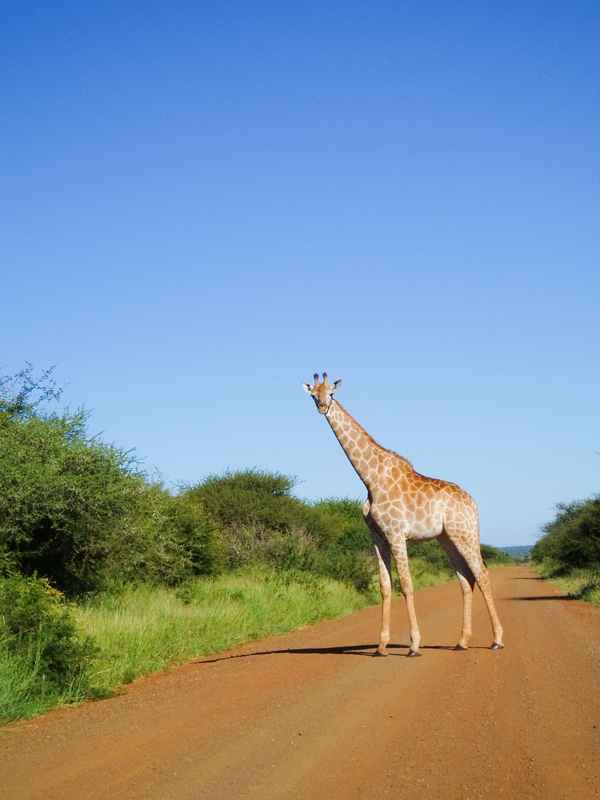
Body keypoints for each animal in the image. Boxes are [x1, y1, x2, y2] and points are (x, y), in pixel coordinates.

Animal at [303, 372, 504, 657]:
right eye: (313, 394)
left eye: (331, 393)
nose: (322, 406)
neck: (370, 479)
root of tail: (472, 502)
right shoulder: (377, 537)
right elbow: (385, 587)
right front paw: (381, 646)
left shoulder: (397, 534)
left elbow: (407, 585)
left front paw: (414, 645)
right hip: (447, 538)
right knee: (466, 579)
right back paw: (462, 641)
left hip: (464, 533)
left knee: (482, 574)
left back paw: (497, 639)